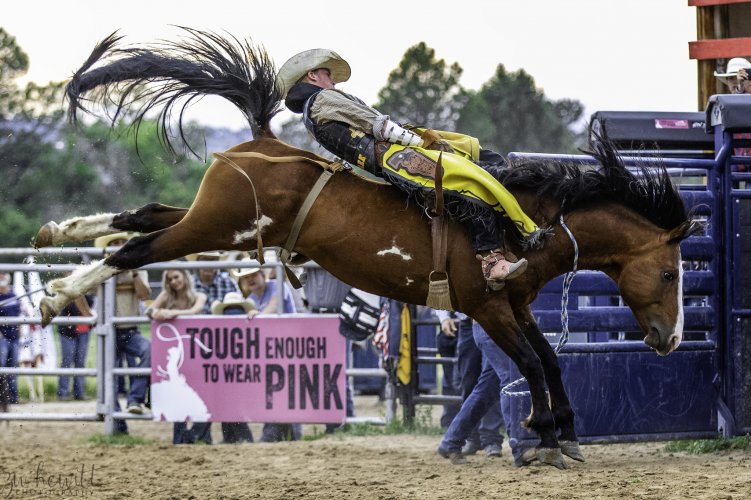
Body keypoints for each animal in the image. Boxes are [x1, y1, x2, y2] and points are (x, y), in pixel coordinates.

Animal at [35, 30, 704, 468]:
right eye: (672, 276)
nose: (671, 339)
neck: (530, 222)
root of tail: (261, 142)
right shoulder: (488, 306)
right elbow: (533, 364)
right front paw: (546, 437)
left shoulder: (514, 304)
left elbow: (549, 360)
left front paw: (562, 432)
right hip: (214, 228)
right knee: (137, 249)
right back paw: (55, 294)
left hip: (223, 226)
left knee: (143, 217)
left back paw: (58, 234)